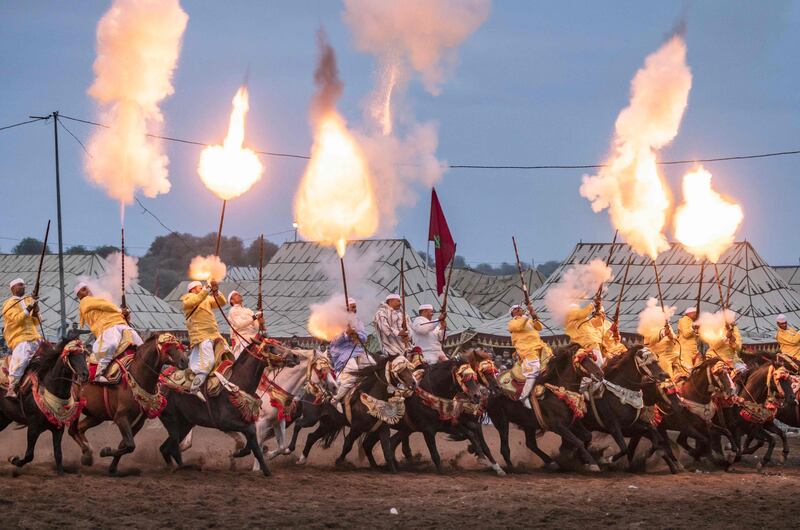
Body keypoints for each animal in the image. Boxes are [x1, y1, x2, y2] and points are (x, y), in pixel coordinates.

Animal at [0, 338, 89, 474]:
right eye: (71, 355)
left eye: (84, 355)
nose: (85, 374)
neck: (50, 387)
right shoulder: (33, 427)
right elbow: (29, 455)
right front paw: (13, 459)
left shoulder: (58, 429)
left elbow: (58, 454)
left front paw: (61, 472)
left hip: (4, 418)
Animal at [67, 332, 189, 472]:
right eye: (167, 345)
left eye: (179, 343)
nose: (185, 360)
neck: (137, 378)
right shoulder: (121, 418)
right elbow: (130, 445)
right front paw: (105, 451)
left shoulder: (138, 423)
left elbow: (125, 445)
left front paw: (112, 467)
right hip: (76, 408)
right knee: (72, 430)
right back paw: (87, 454)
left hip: (97, 415)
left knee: (79, 429)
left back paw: (87, 454)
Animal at [159, 338, 300, 474]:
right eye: (270, 346)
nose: (295, 356)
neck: (235, 386)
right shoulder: (225, 422)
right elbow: (251, 436)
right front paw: (241, 453)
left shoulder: (249, 421)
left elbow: (254, 444)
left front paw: (264, 469)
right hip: (171, 420)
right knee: (171, 448)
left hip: (185, 424)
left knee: (165, 448)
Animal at [482, 342, 608, 470]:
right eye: (583, 360)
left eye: (592, 357)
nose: (600, 374)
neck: (558, 393)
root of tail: (490, 392)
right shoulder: (558, 426)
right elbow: (578, 442)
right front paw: (592, 463)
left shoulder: (572, 422)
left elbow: (587, 436)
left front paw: (581, 459)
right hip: (501, 421)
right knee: (505, 448)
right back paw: (511, 468)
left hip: (528, 423)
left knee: (530, 444)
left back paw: (551, 462)